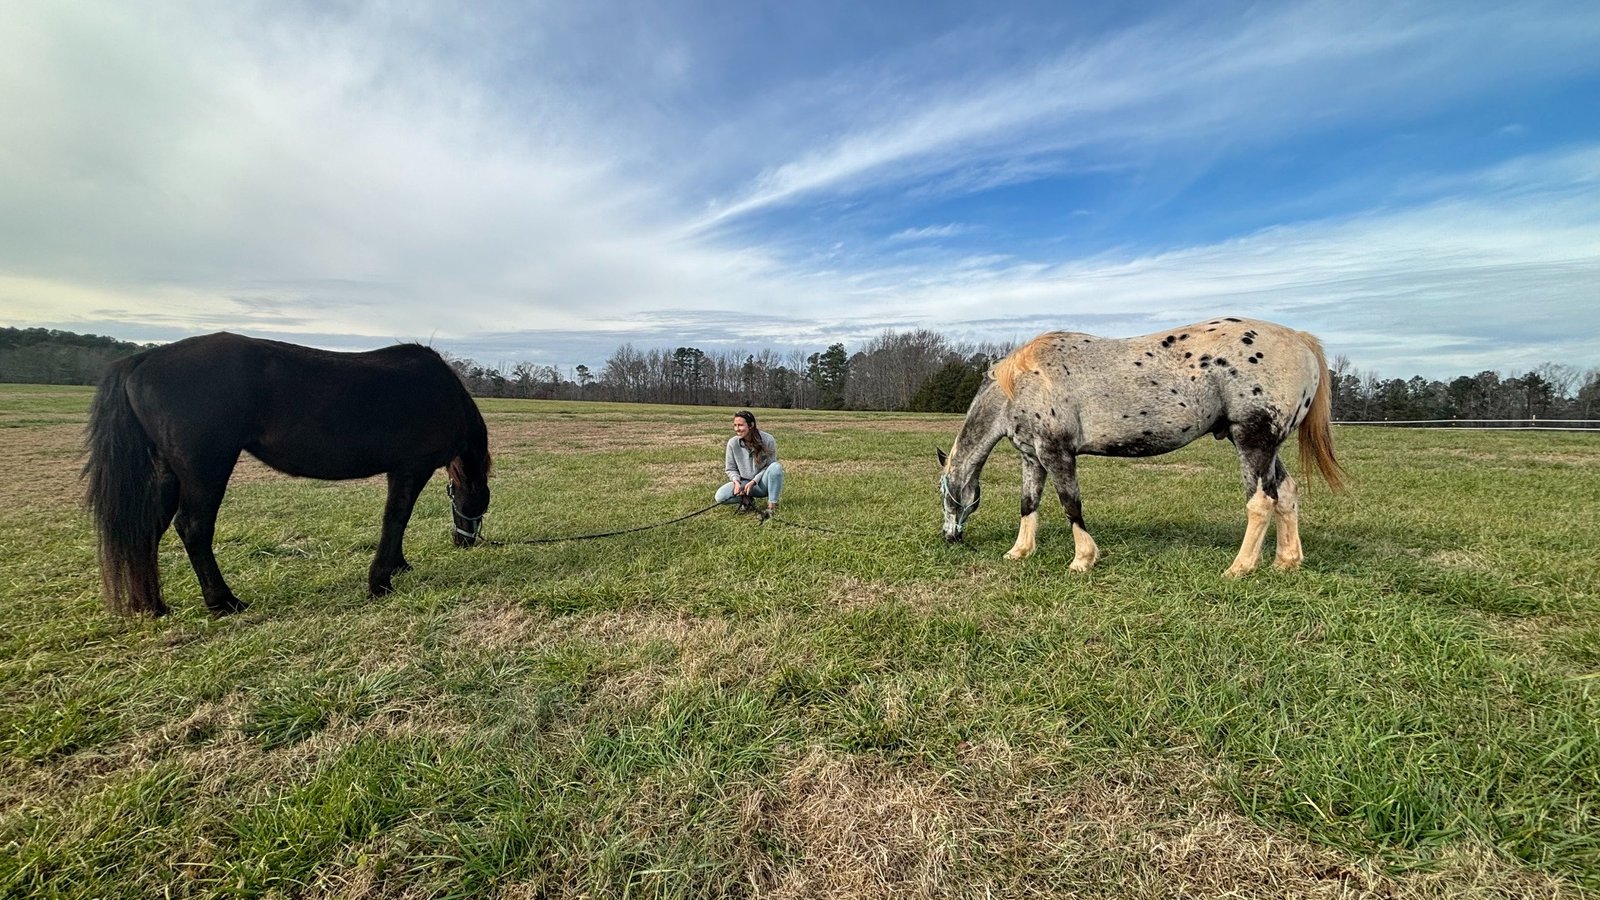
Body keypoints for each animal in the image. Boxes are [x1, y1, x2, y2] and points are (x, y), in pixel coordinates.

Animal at [83, 333, 492, 617]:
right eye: (477, 503)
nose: (464, 541)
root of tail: (142, 359)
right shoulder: (410, 468)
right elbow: (396, 519)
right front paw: (380, 582)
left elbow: (396, 521)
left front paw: (397, 566)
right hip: (206, 469)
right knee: (194, 527)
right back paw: (224, 602)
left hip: (170, 472)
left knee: (147, 529)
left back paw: (152, 605)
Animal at [937, 317, 1345, 577]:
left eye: (943, 493)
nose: (949, 536)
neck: (1023, 382)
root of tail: (1300, 340)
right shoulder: (1032, 457)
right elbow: (1028, 504)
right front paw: (1019, 552)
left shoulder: (1057, 453)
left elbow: (1071, 505)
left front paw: (1082, 560)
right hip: (1265, 446)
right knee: (1286, 493)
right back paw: (1286, 561)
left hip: (1253, 441)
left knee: (1261, 502)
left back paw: (1239, 568)